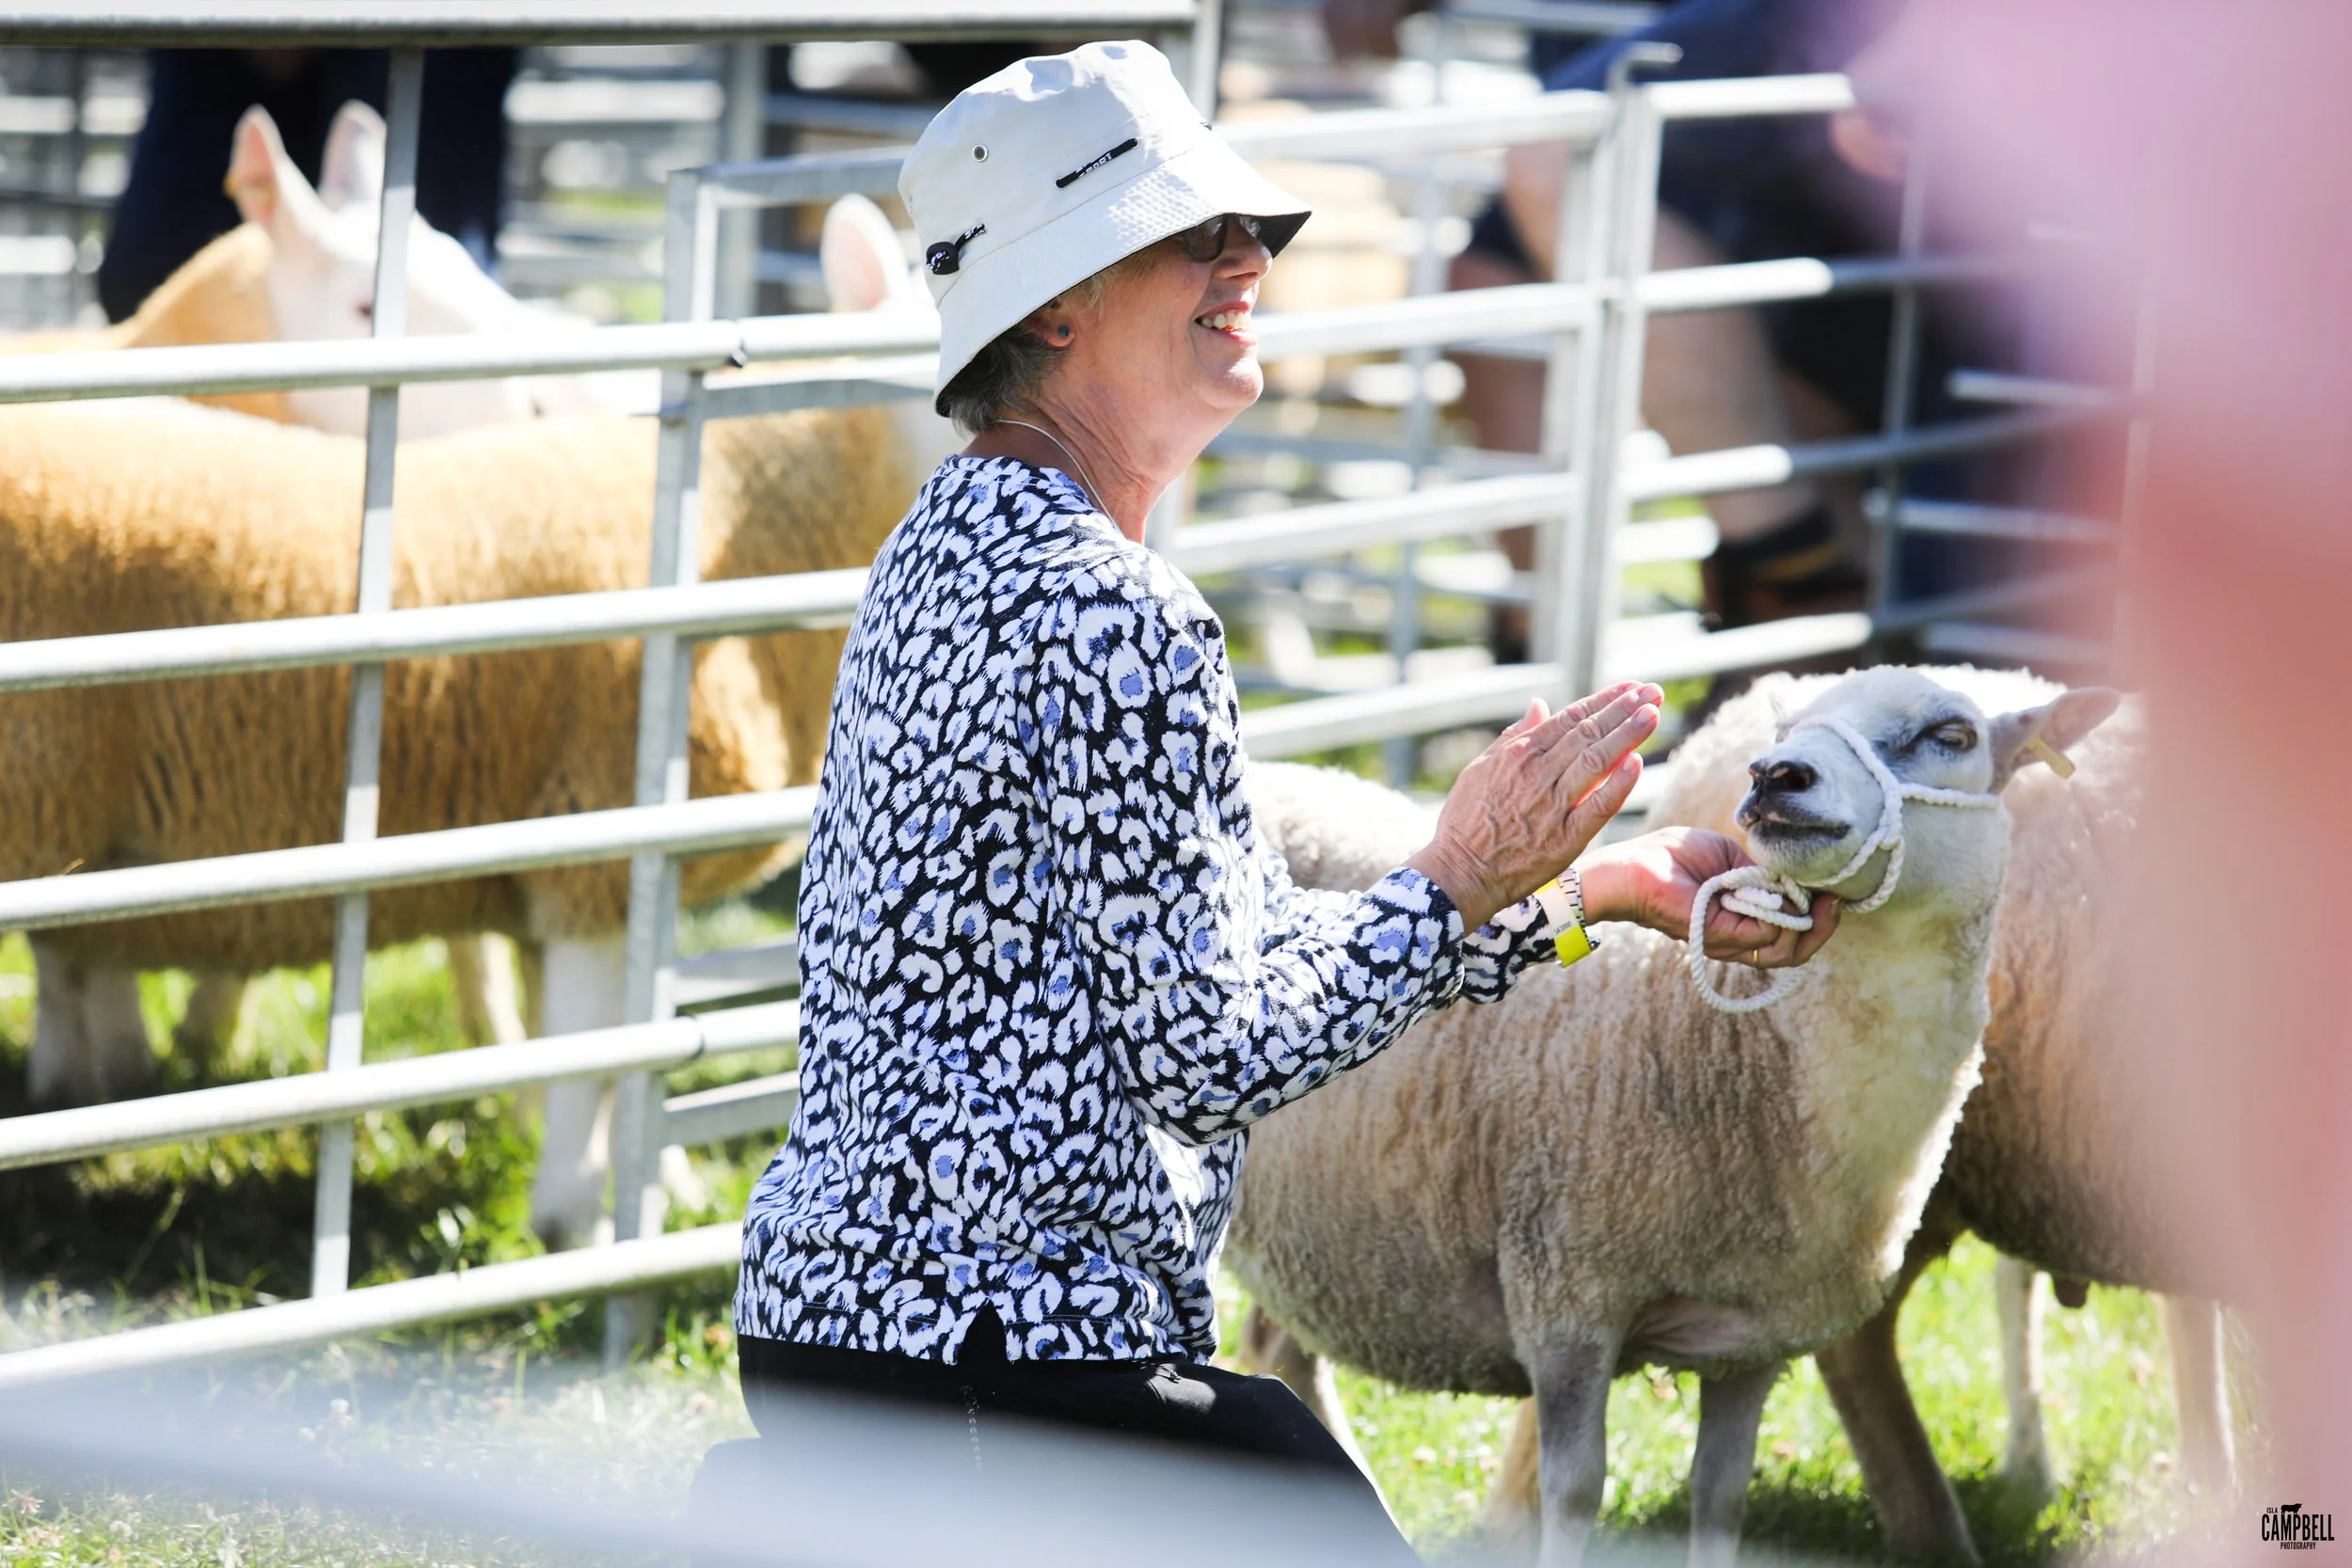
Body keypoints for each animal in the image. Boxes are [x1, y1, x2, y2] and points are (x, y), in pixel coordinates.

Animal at [1226, 667, 2118, 1568]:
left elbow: (1719, 1495)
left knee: (1281, 1347)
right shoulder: (1566, 1294)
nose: (1777, 775)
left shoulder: (1750, 1339)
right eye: (1786, 728)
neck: (1747, 1057)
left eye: (1952, 734)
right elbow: (1574, 1492)